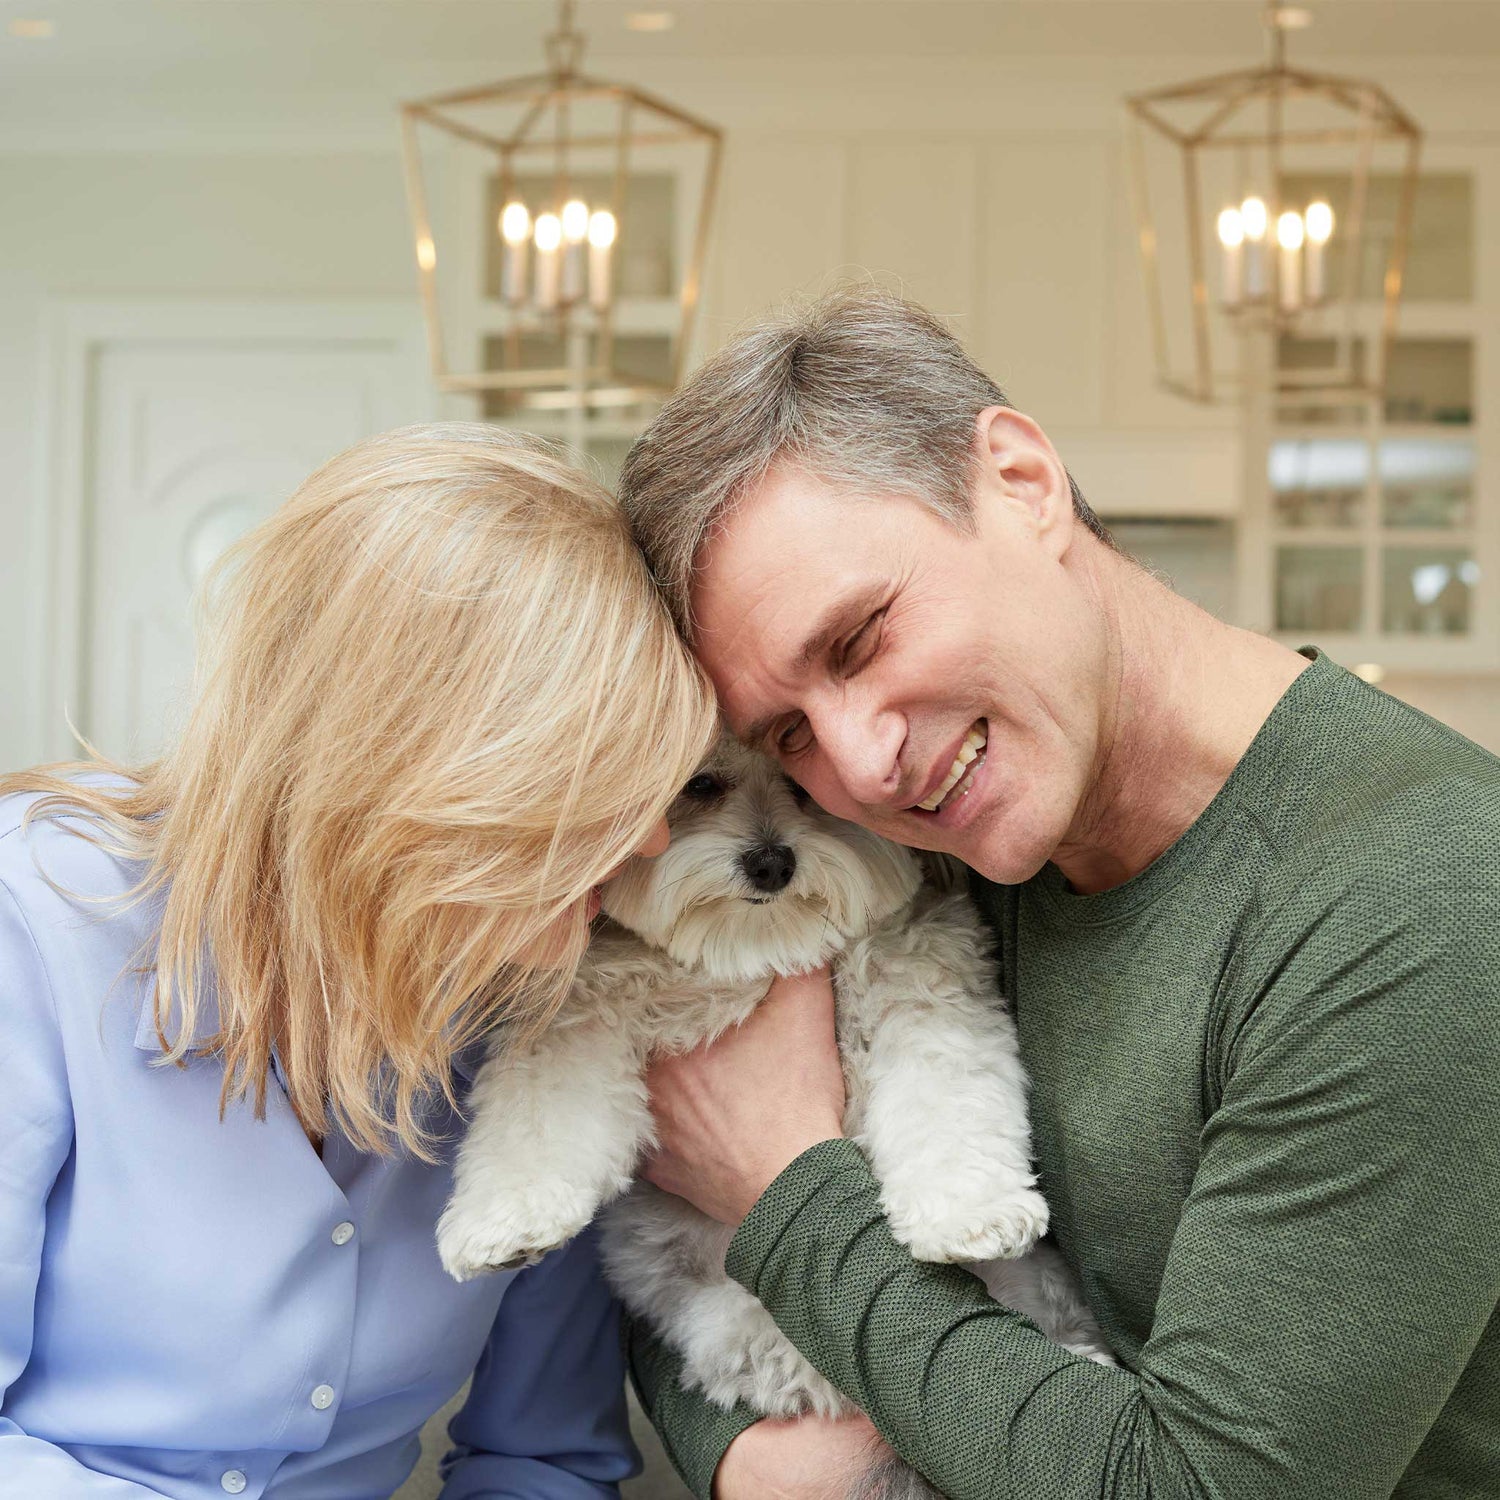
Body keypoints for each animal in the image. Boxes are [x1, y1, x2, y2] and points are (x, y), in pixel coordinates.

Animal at [438, 744, 1110, 1494]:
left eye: (809, 784)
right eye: (700, 782)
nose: (770, 863)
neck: (753, 950)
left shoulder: (923, 981)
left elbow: (947, 1093)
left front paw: (970, 1213)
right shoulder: (577, 1013)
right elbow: (537, 1111)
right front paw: (503, 1221)